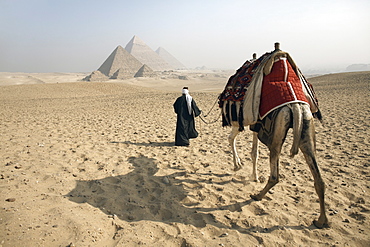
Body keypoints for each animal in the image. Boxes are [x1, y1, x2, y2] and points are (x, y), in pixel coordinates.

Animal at [218, 44, 328, 228]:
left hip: (278, 130)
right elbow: (254, 152)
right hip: (306, 126)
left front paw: (238, 166)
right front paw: (253, 175)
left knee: (275, 174)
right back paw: (322, 220)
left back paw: (257, 195)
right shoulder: (256, 124)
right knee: (318, 178)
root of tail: (295, 106)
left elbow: (233, 140)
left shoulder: (240, 119)